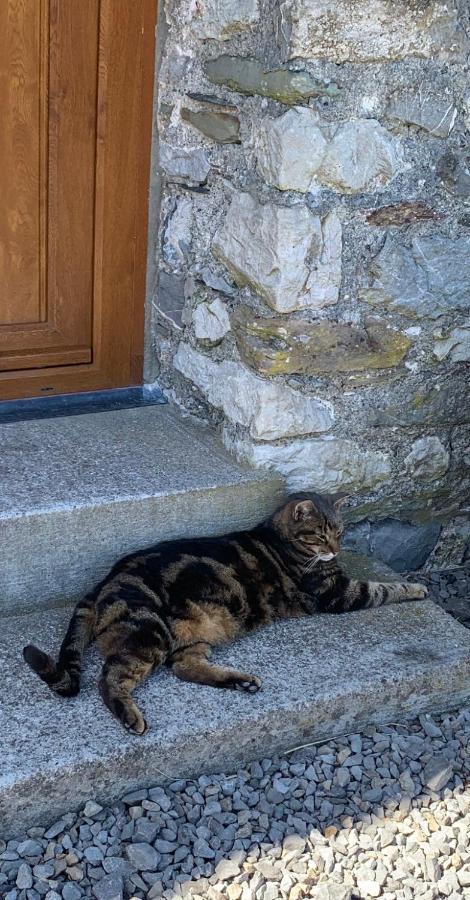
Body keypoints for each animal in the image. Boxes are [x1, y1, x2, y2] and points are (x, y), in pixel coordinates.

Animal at [22, 496, 428, 736]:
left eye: (341, 532)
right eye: (319, 535)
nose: (336, 549)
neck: (281, 538)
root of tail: (104, 580)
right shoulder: (338, 593)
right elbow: (384, 588)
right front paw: (417, 588)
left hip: (193, 635)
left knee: (184, 668)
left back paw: (239, 682)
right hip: (149, 633)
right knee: (109, 679)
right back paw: (129, 716)